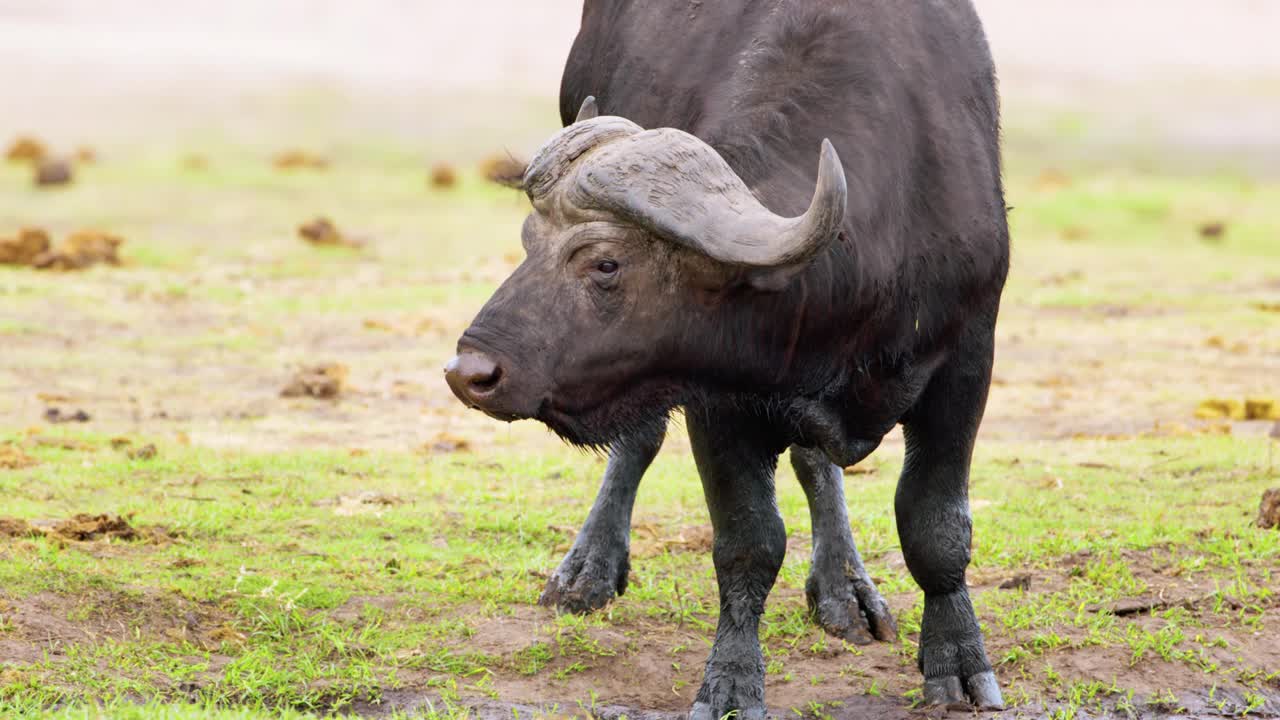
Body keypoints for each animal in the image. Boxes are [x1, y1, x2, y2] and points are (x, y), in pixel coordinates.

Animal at [448, 1, 1008, 712]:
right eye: (528, 242)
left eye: (605, 263)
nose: (470, 373)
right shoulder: (714, 396)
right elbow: (748, 545)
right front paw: (732, 681)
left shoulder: (967, 362)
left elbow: (936, 527)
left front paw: (959, 662)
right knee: (642, 440)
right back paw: (588, 568)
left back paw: (843, 587)